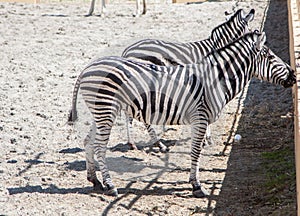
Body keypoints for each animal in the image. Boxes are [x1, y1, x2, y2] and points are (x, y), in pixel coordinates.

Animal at [67, 30, 296, 197]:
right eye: (270, 56)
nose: (294, 76)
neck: (216, 79)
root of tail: (88, 67)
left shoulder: (201, 119)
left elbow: (197, 151)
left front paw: (194, 182)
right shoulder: (200, 118)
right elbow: (195, 152)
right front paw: (197, 186)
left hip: (100, 112)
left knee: (88, 142)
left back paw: (95, 181)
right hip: (106, 110)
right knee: (99, 147)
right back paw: (110, 185)